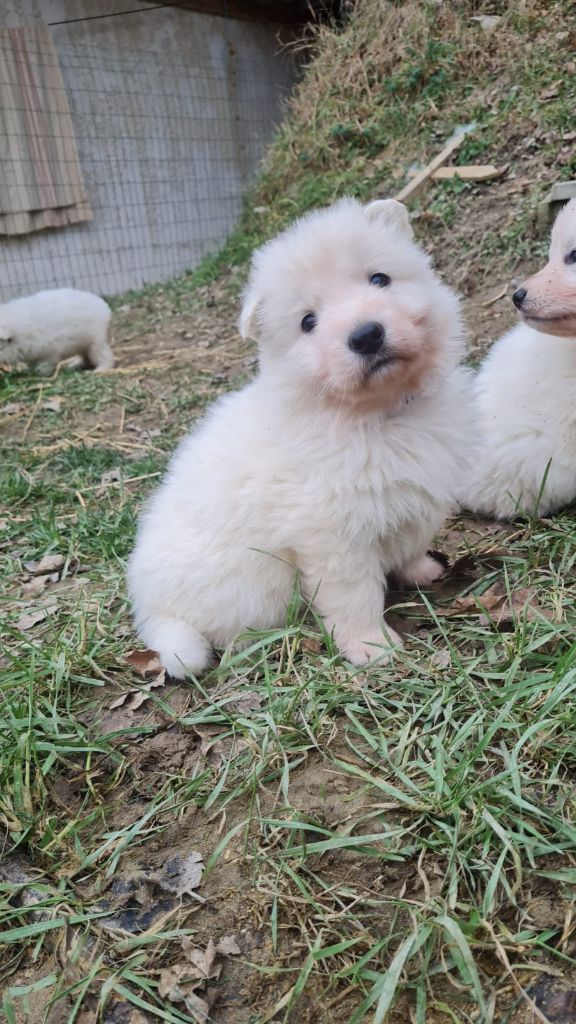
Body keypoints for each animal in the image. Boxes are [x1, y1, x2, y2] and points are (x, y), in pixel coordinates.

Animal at [127, 197, 473, 677]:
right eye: (308, 322)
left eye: (379, 279)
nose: (366, 335)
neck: (377, 414)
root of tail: (150, 606)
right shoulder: (332, 532)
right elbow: (354, 593)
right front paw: (371, 646)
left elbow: (410, 542)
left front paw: (421, 569)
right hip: (251, 584)